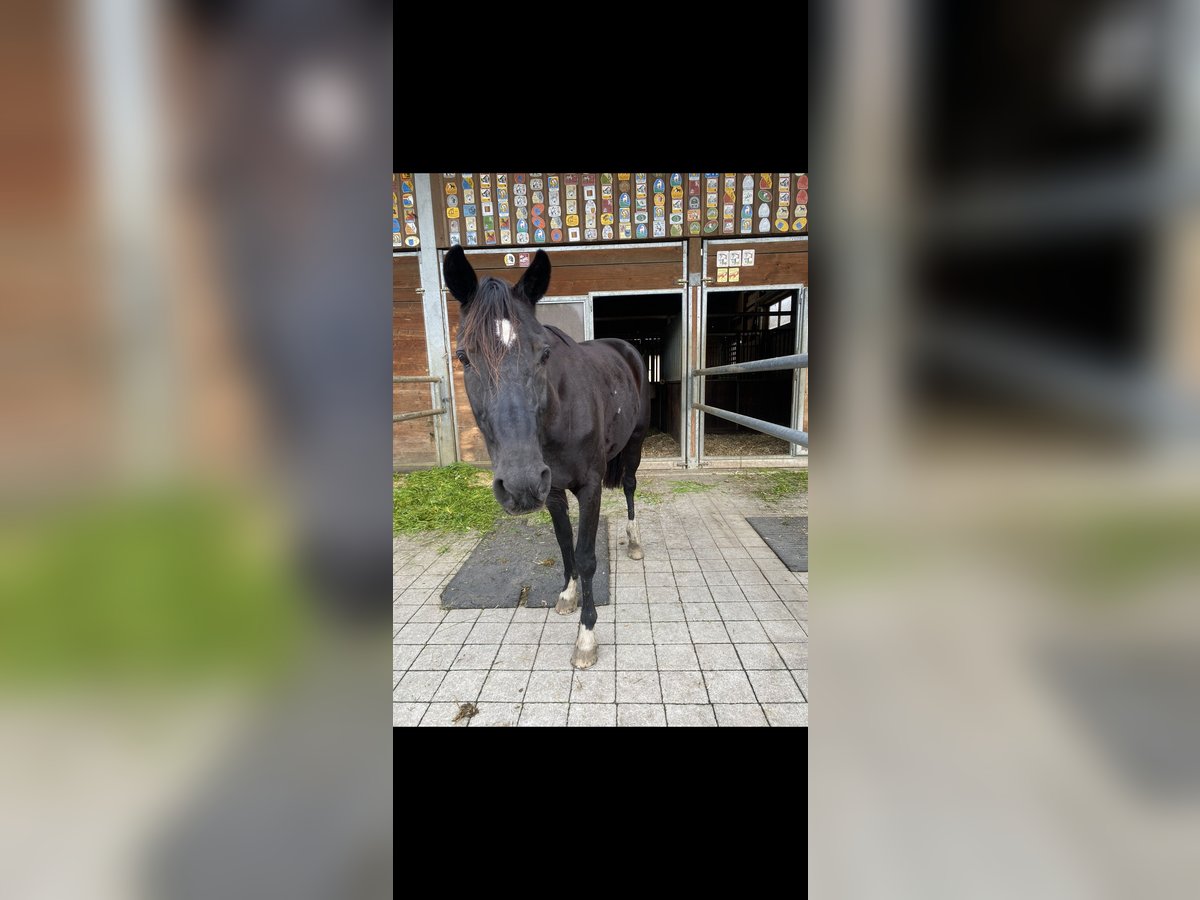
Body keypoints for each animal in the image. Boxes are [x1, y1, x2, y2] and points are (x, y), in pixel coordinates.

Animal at [441, 247, 648, 672]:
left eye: (544, 353)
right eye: (463, 357)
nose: (519, 484)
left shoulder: (588, 487)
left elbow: (586, 556)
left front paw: (586, 637)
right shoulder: (551, 490)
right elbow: (565, 543)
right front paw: (568, 595)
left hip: (635, 443)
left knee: (630, 487)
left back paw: (635, 541)